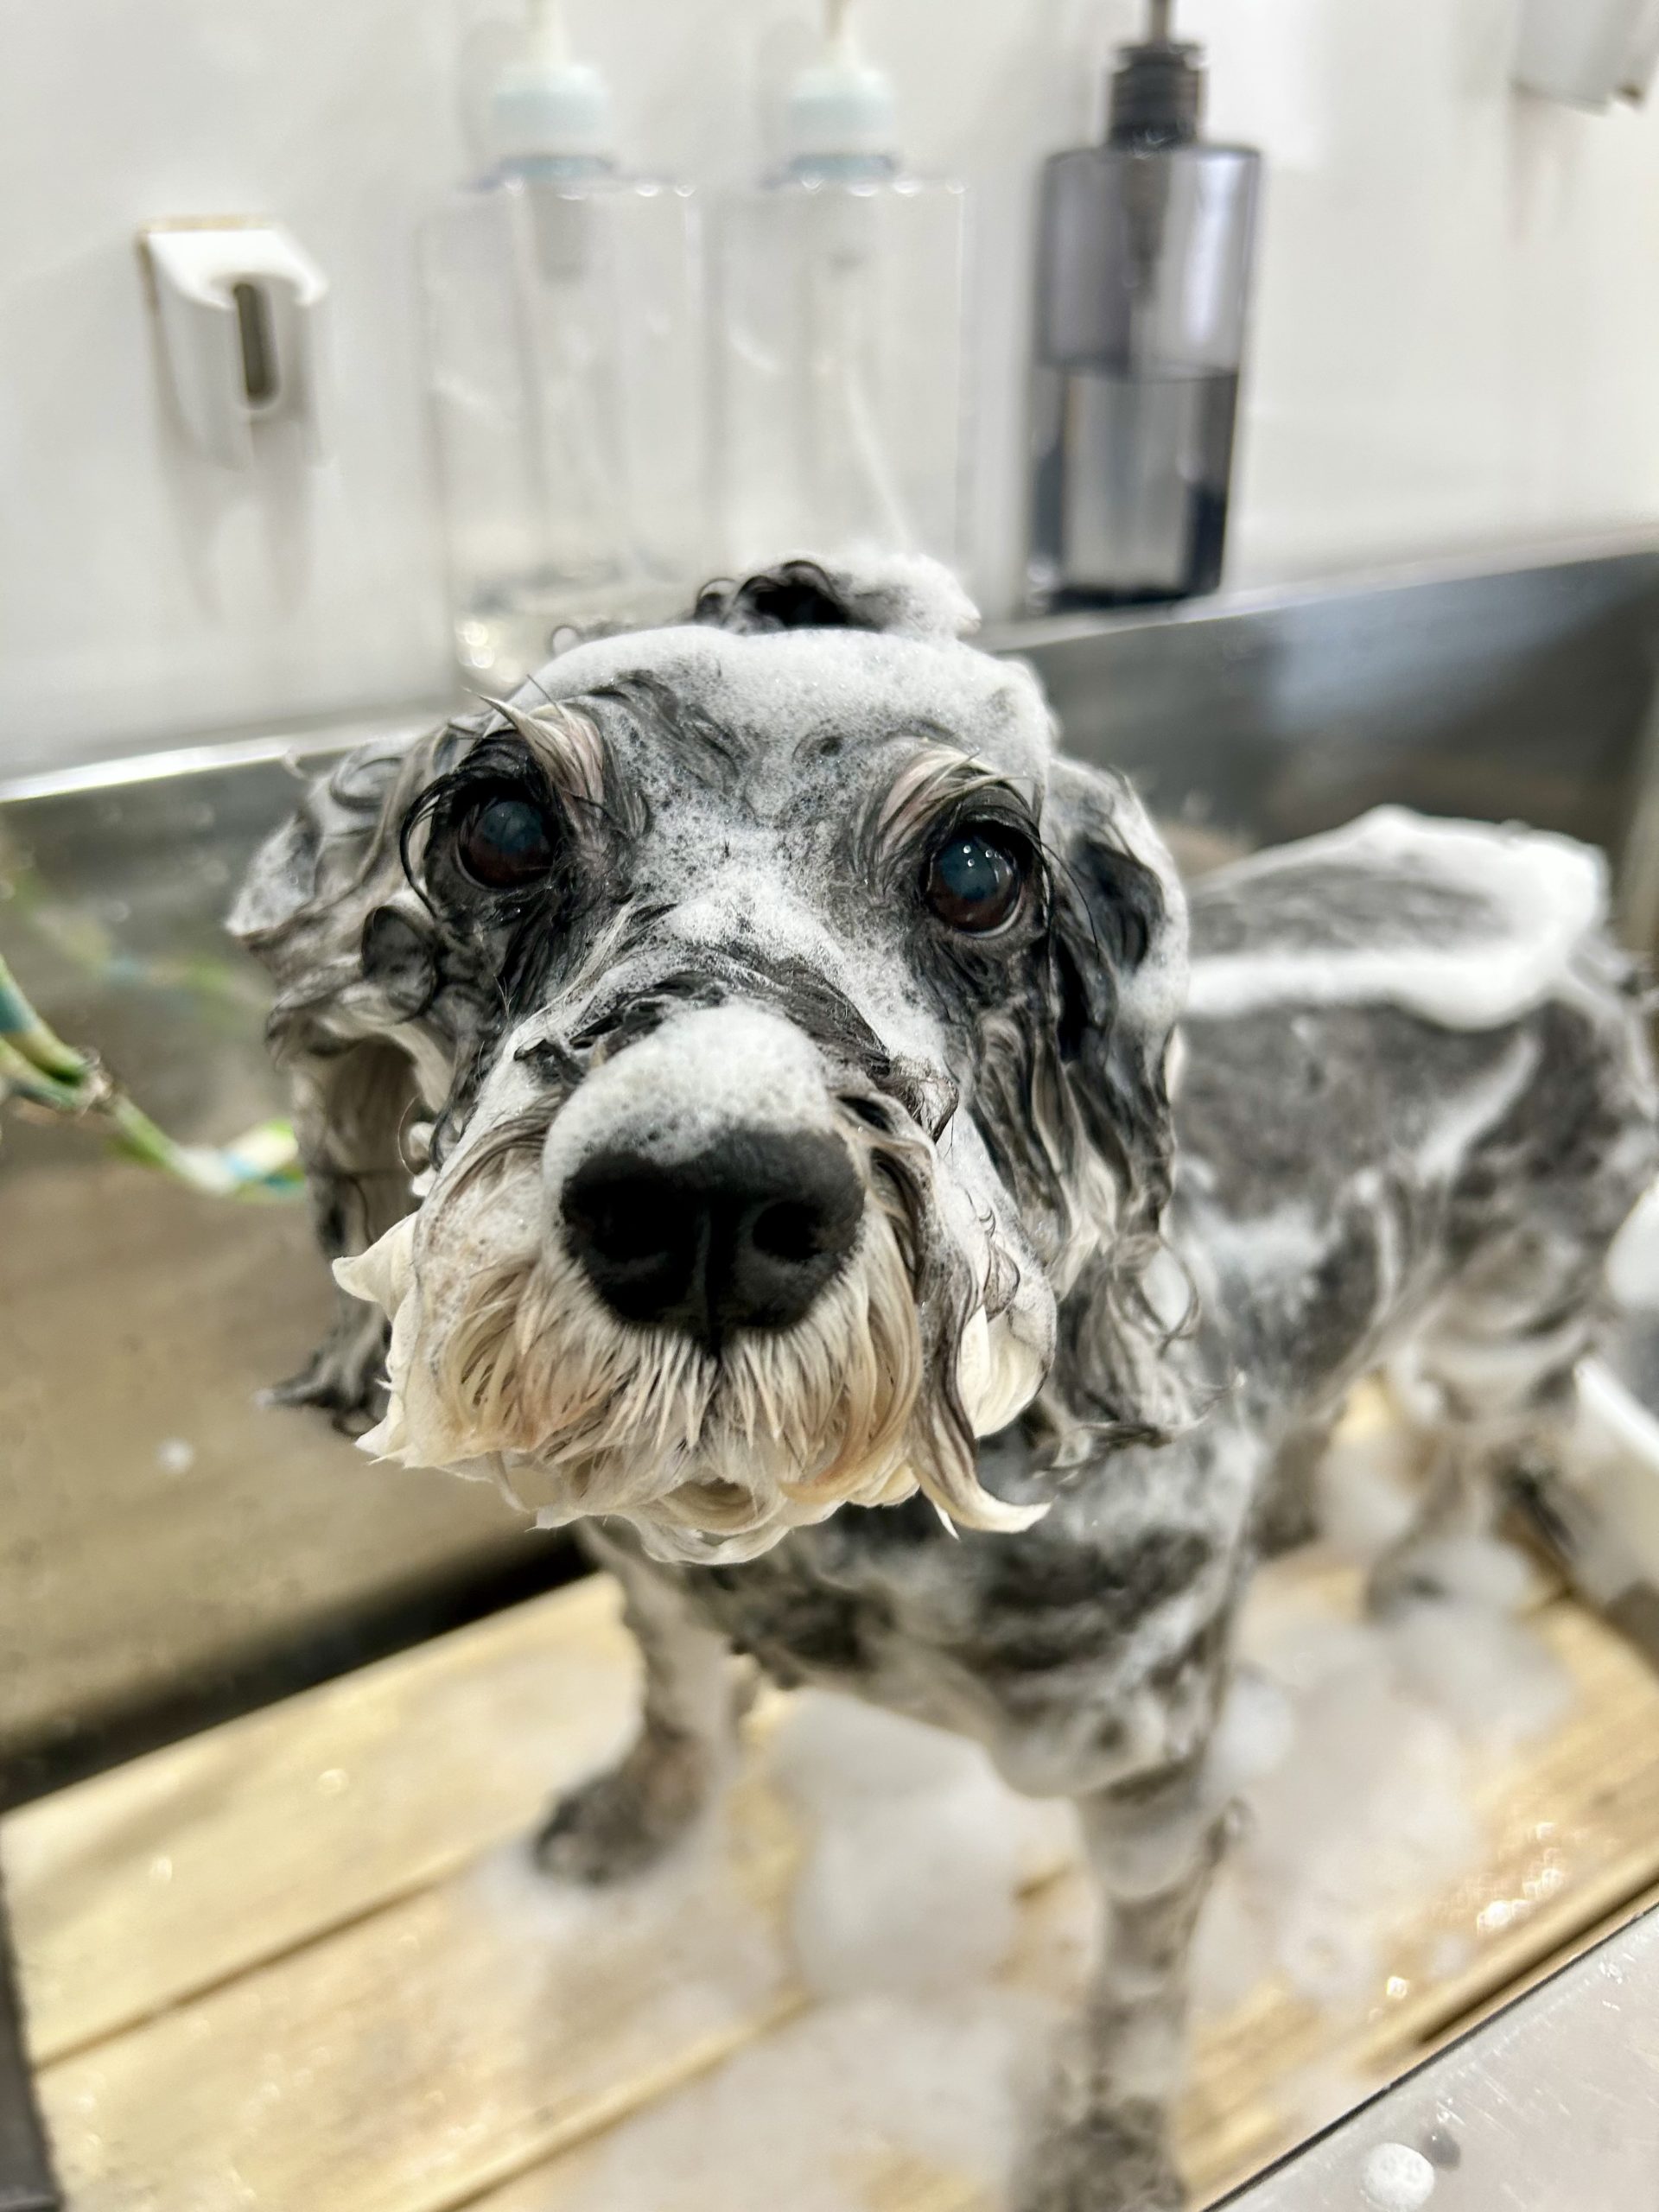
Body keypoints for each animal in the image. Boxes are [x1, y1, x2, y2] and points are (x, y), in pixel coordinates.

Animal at [232, 556, 1657, 2210]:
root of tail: (1581, 932)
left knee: (1489, 1449)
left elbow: (1137, 1988)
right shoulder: (653, 1577)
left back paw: (1420, 1581)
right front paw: (639, 1816)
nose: (706, 1201)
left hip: (1515, 1316)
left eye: (980, 870)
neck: (833, 1537)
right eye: (501, 827)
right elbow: (679, 1706)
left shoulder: (1149, 1773)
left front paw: (1107, 2146)